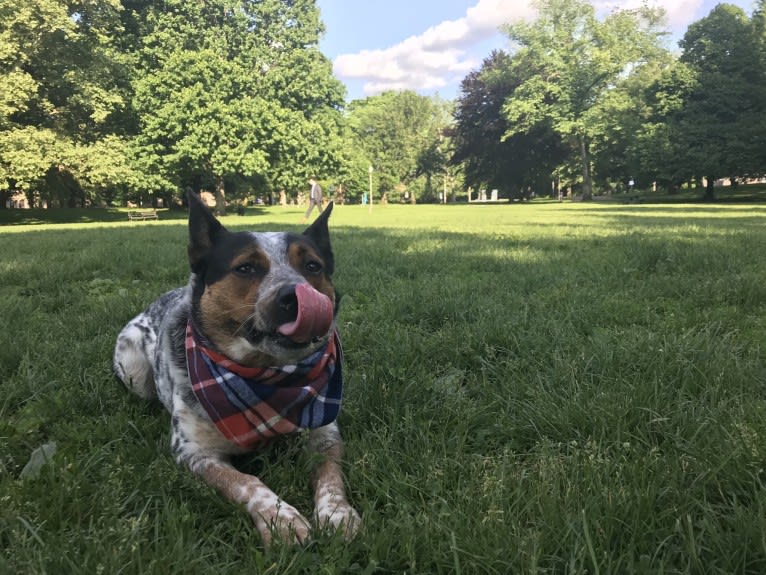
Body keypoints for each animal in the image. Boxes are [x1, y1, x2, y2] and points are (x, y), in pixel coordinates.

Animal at [112, 192, 362, 544]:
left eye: (312, 266)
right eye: (245, 267)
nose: (294, 296)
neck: (264, 378)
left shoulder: (325, 432)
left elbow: (329, 474)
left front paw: (337, 513)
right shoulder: (194, 451)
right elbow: (245, 482)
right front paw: (280, 518)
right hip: (133, 367)